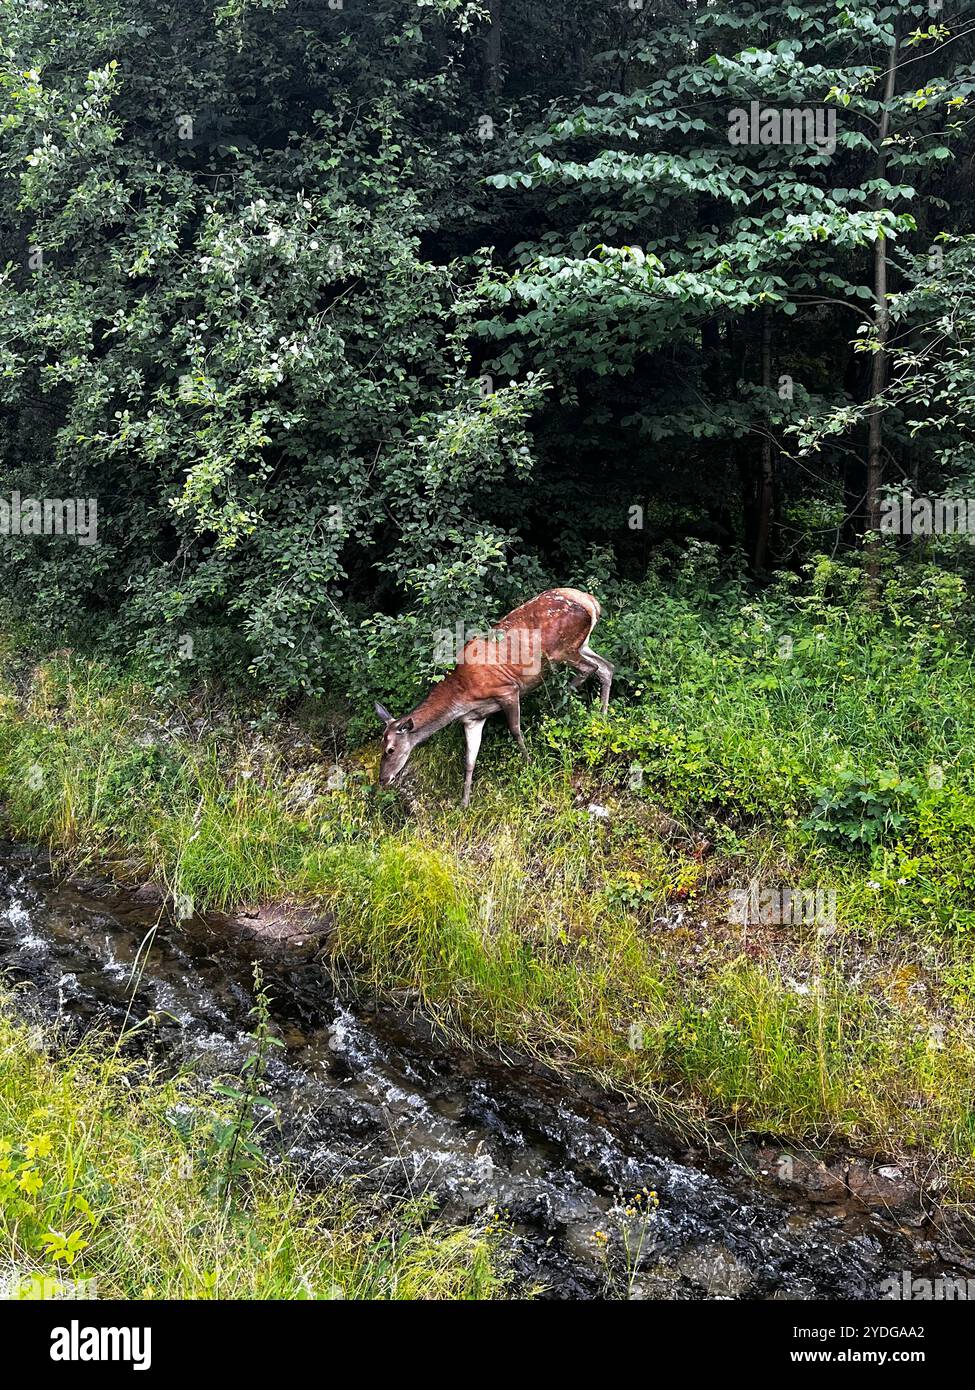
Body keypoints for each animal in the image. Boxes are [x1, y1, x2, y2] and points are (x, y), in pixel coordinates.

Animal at [375, 588, 613, 807]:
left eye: (390, 749)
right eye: (381, 747)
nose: (382, 779)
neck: (461, 697)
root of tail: (591, 601)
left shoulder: (508, 690)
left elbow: (516, 731)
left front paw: (529, 764)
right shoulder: (473, 719)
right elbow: (469, 760)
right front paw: (464, 803)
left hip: (562, 650)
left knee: (591, 668)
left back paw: (558, 705)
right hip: (582, 644)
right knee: (606, 667)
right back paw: (600, 718)